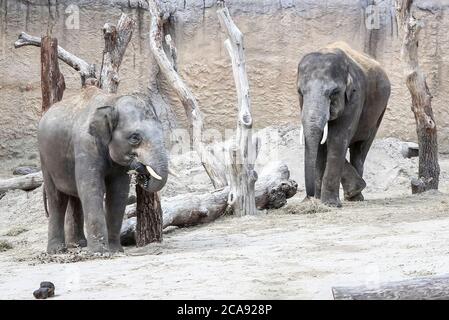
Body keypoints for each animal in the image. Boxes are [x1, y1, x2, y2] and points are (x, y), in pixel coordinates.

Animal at [38, 86, 168, 254]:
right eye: (134, 137)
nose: (142, 175)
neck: (112, 101)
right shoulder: (86, 145)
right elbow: (92, 188)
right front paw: (100, 252)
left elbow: (118, 192)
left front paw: (116, 250)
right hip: (45, 159)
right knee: (57, 198)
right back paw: (57, 250)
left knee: (75, 197)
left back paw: (79, 245)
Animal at [298, 42, 388, 208]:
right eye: (301, 92)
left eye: (333, 93)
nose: (309, 198)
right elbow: (322, 143)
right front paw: (319, 201)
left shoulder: (355, 97)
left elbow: (337, 139)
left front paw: (330, 204)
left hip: (380, 112)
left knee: (361, 149)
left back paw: (355, 197)